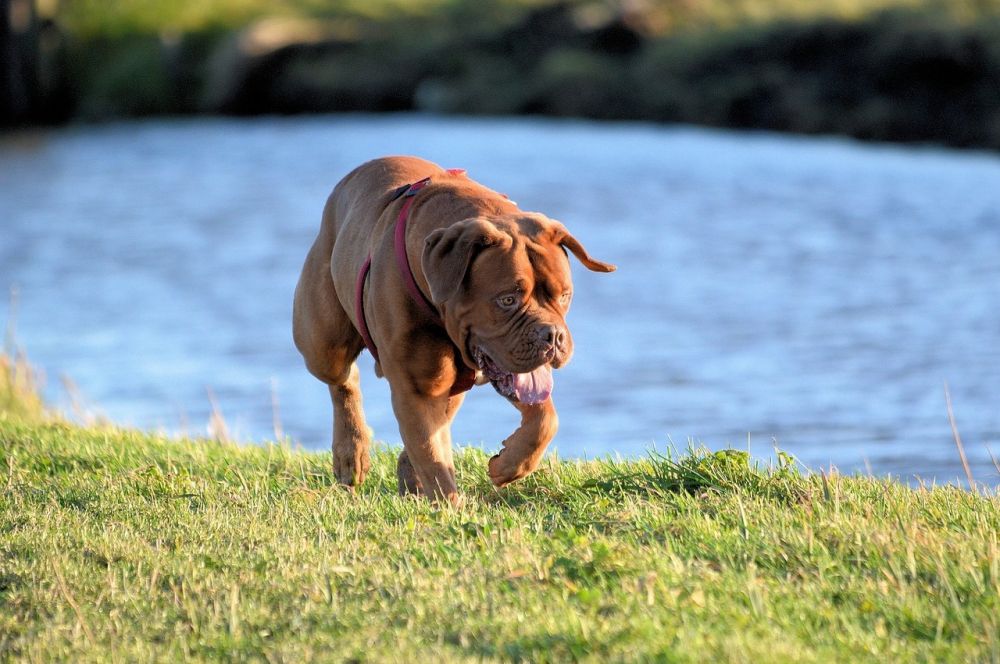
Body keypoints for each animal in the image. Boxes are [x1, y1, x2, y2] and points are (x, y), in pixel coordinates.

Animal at [292, 157, 612, 504]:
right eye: (507, 300)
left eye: (565, 296)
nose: (552, 336)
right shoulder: (417, 387)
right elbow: (433, 456)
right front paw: (449, 507)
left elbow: (544, 419)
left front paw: (509, 465)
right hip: (323, 342)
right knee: (343, 379)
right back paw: (352, 453)